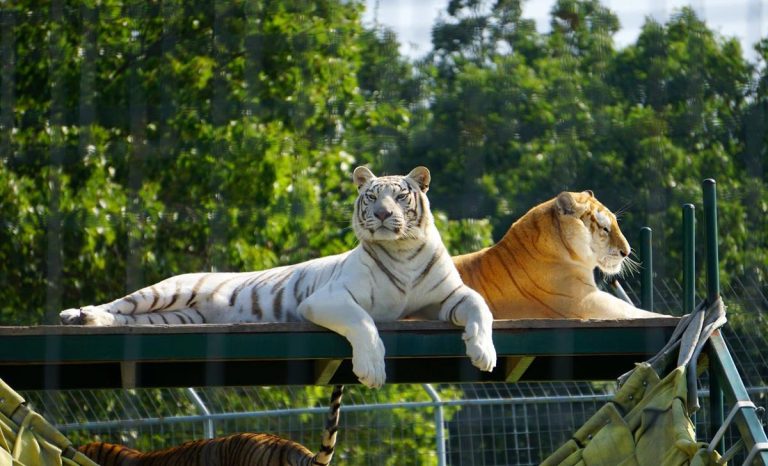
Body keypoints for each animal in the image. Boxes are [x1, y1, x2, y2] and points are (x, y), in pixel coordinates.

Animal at [57, 166, 496, 388]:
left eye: (400, 196)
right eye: (371, 196)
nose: (383, 214)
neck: (402, 251)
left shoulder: (449, 296)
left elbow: (481, 308)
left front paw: (484, 353)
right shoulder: (330, 297)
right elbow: (364, 323)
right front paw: (371, 370)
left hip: (177, 316)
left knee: (128, 318)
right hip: (164, 292)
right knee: (119, 304)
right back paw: (78, 314)